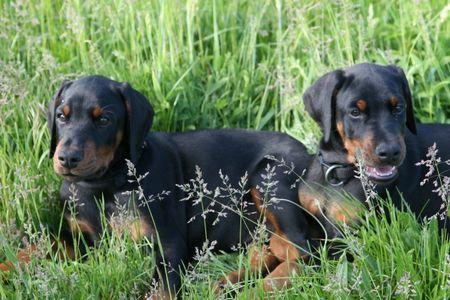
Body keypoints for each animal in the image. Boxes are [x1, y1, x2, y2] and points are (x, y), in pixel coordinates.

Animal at [43, 76, 316, 296]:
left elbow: (161, 290)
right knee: (268, 254)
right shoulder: (80, 236)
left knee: (302, 254)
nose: (67, 158)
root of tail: (311, 155)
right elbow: (46, 243)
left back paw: (260, 289)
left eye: (104, 119)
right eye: (61, 116)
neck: (103, 184)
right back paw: (228, 283)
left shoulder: (168, 243)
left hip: (268, 176)